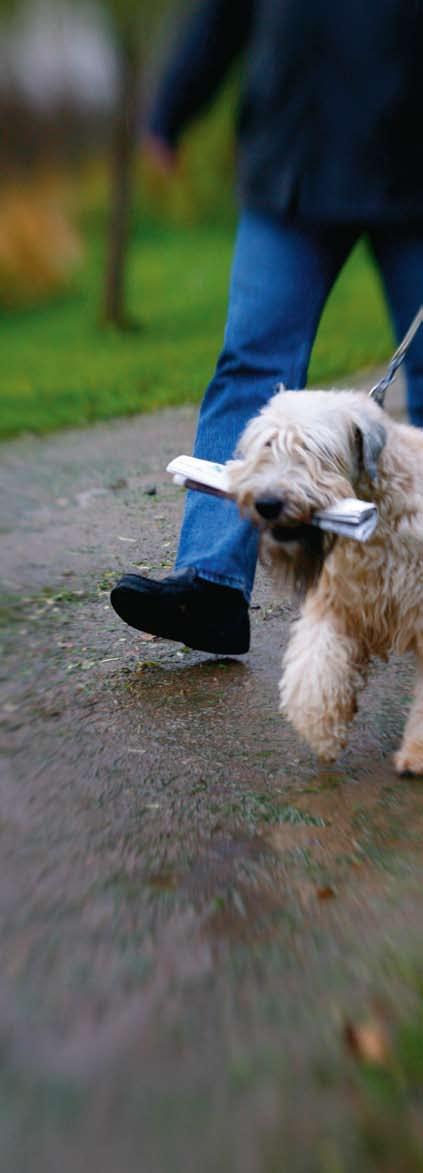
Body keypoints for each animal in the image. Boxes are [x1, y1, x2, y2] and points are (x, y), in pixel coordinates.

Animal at [227, 384, 421, 774]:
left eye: (315, 449)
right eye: (267, 445)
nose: (267, 503)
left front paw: (415, 753)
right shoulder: (339, 601)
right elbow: (316, 667)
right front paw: (322, 731)